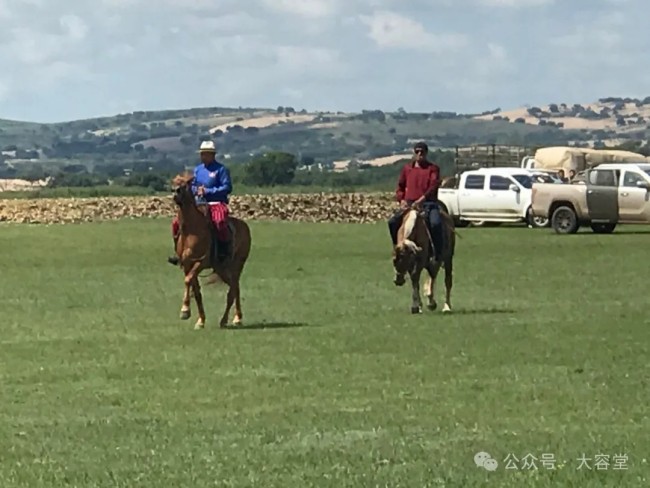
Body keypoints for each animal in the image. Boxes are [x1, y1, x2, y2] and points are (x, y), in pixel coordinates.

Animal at [170, 173, 251, 330]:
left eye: (186, 183)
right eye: (174, 182)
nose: (175, 193)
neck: (192, 230)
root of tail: (245, 226)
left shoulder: (200, 262)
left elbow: (188, 280)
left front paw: (185, 311)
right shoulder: (188, 265)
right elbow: (196, 290)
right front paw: (200, 320)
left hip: (237, 265)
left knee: (233, 290)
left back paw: (231, 319)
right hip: (221, 268)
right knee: (235, 287)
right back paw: (234, 318)